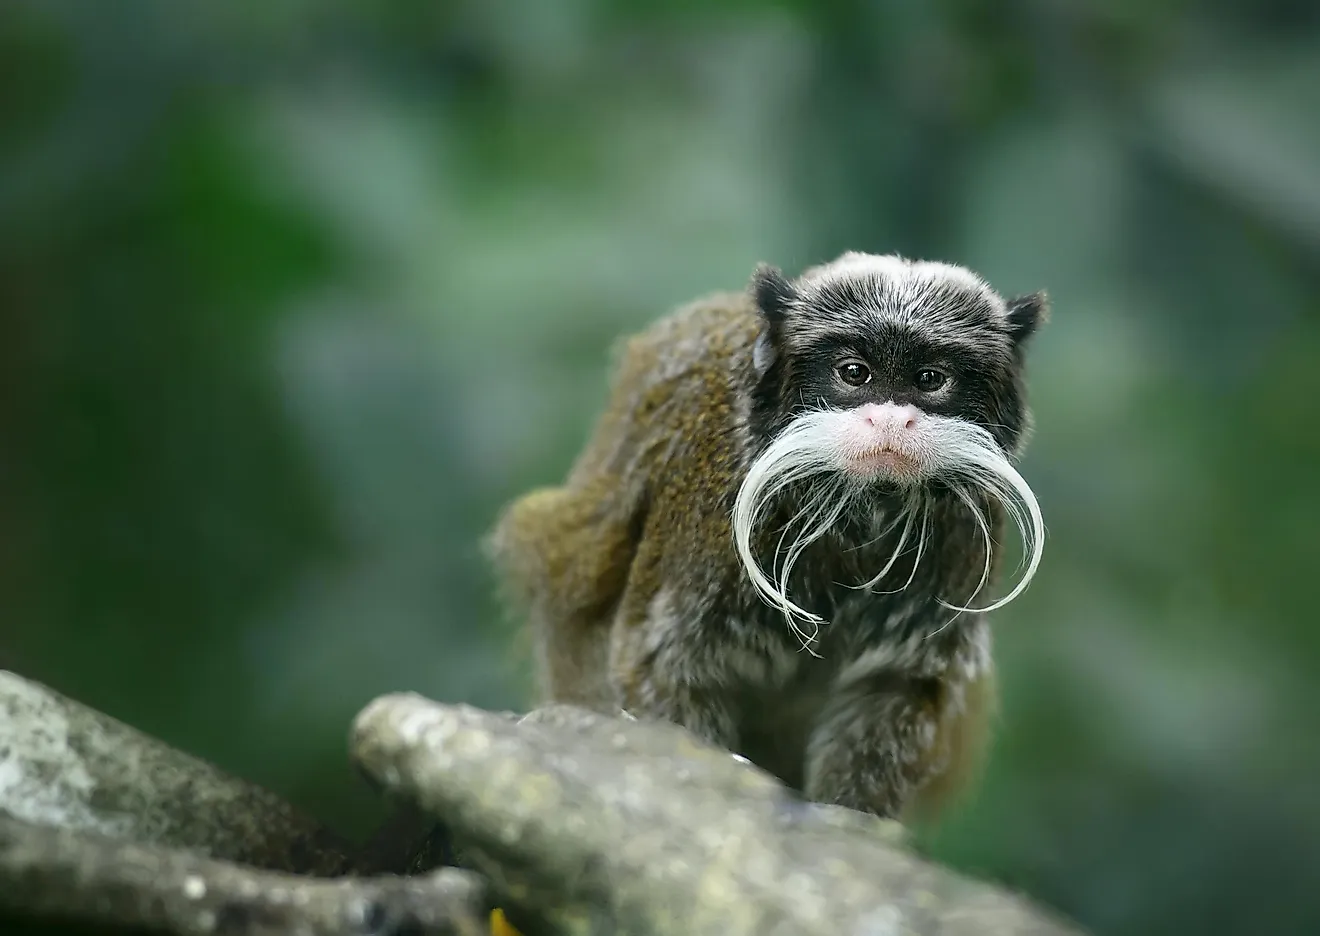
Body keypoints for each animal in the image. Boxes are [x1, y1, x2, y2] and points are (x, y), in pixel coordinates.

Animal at [485, 249, 1050, 818]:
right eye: (855, 373)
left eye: (930, 379)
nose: (891, 420)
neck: (859, 509)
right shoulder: (708, 515)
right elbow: (665, 667)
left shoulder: (958, 545)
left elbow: (891, 691)